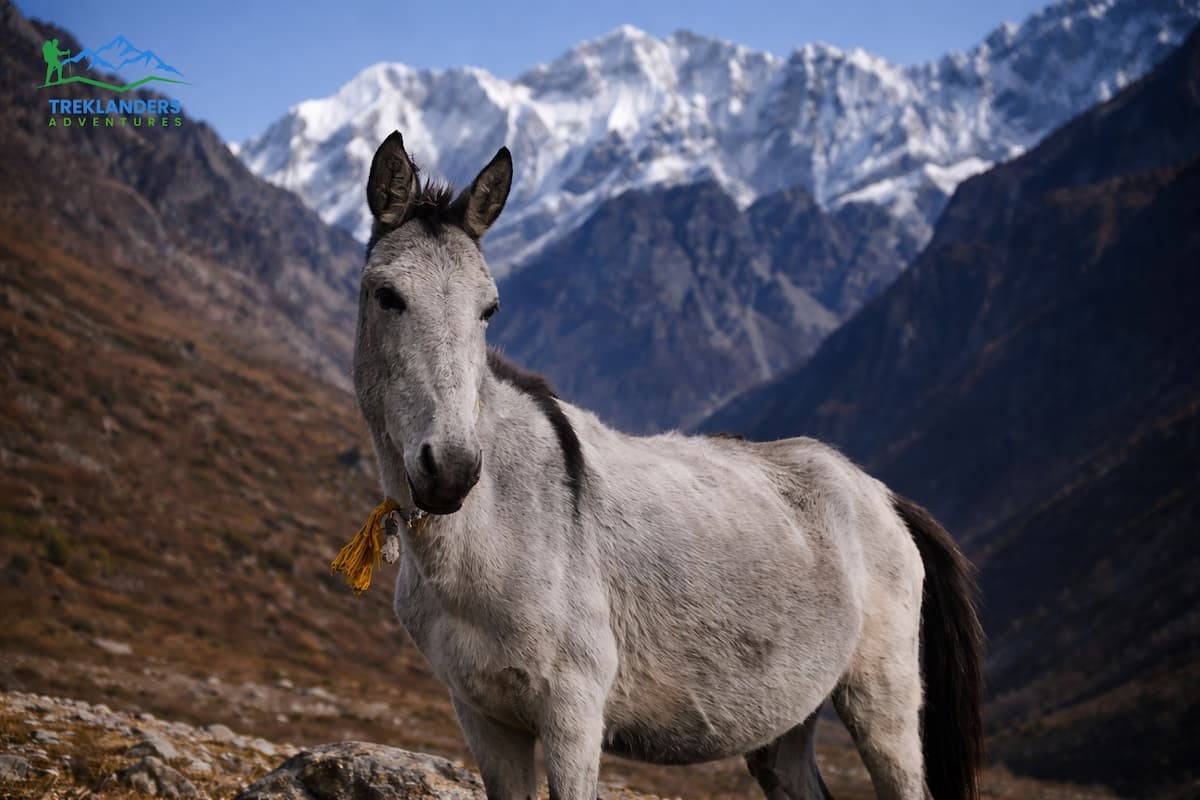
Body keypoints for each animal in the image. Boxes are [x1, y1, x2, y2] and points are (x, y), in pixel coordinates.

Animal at [350, 130, 984, 800]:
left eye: (488, 310)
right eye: (387, 296)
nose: (450, 471)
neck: (495, 529)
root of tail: (884, 498)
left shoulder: (572, 712)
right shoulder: (483, 716)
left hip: (881, 701)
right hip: (785, 720)